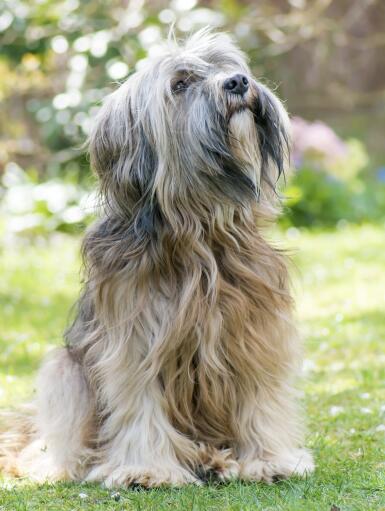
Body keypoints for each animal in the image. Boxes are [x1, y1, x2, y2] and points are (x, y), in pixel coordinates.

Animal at [0, 29, 314, 488]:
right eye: (180, 85)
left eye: (226, 66)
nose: (238, 82)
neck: (200, 230)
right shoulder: (134, 338)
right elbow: (139, 398)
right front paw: (146, 470)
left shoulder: (255, 329)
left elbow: (260, 394)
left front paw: (269, 459)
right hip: (65, 370)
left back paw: (215, 458)